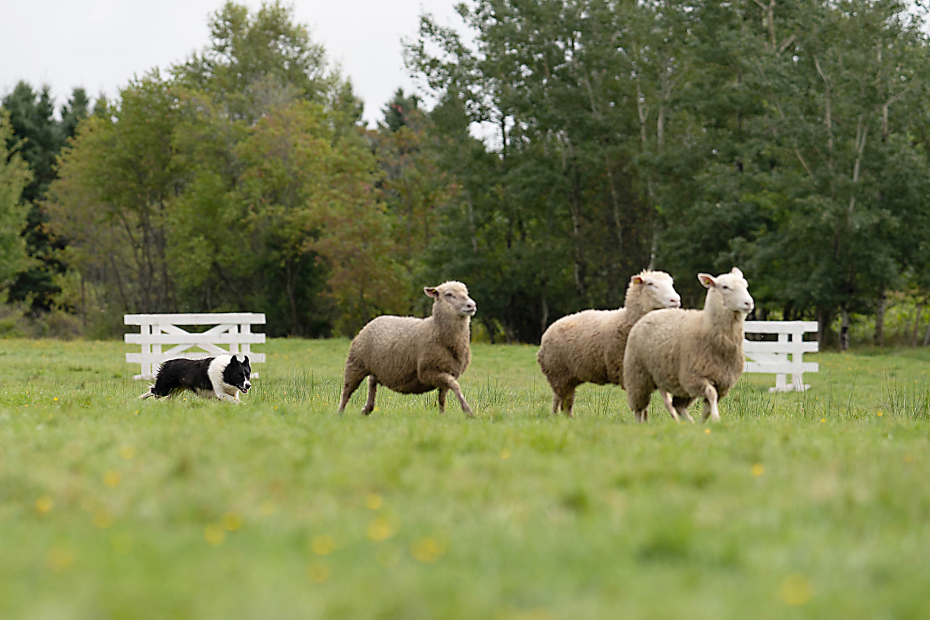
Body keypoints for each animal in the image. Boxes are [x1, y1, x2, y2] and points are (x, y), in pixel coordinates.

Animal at [336, 280, 478, 416]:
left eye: (466, 293)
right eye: (448, 294)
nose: (471, 305)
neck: (435, 330)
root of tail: (375, 319)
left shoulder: (448, 371)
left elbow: (443, 397)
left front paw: (442, 415)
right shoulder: (428, 372)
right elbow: (455, 385)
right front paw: (468, 411)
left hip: (378, 368)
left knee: (371, 381)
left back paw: (367, 409)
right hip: (356, 363)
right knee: (347, 391)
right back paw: (340, 413)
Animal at [532, 272, 676, 416]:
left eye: (671, 283)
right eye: (650, 283)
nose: (675, 300)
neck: (627, 321)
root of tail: (549, 330)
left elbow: (664, 401)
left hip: (569, 378)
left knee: (566, 404)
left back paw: (567, 418)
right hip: (558, 375)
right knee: (557, 401)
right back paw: (555, 417)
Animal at [620, 268, 752, 424]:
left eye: (745, 285)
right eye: (725, 287)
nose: (748, 303)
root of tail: (651, 314)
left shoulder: (722, 383)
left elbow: (708, 405)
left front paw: (703, 423)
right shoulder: (694, 378)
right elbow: (711, 394)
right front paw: (716, 418)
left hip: (679, 385)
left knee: (677, 406)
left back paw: (689, 423)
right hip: (638, 375)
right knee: (639, 407)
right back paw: (640, 423)